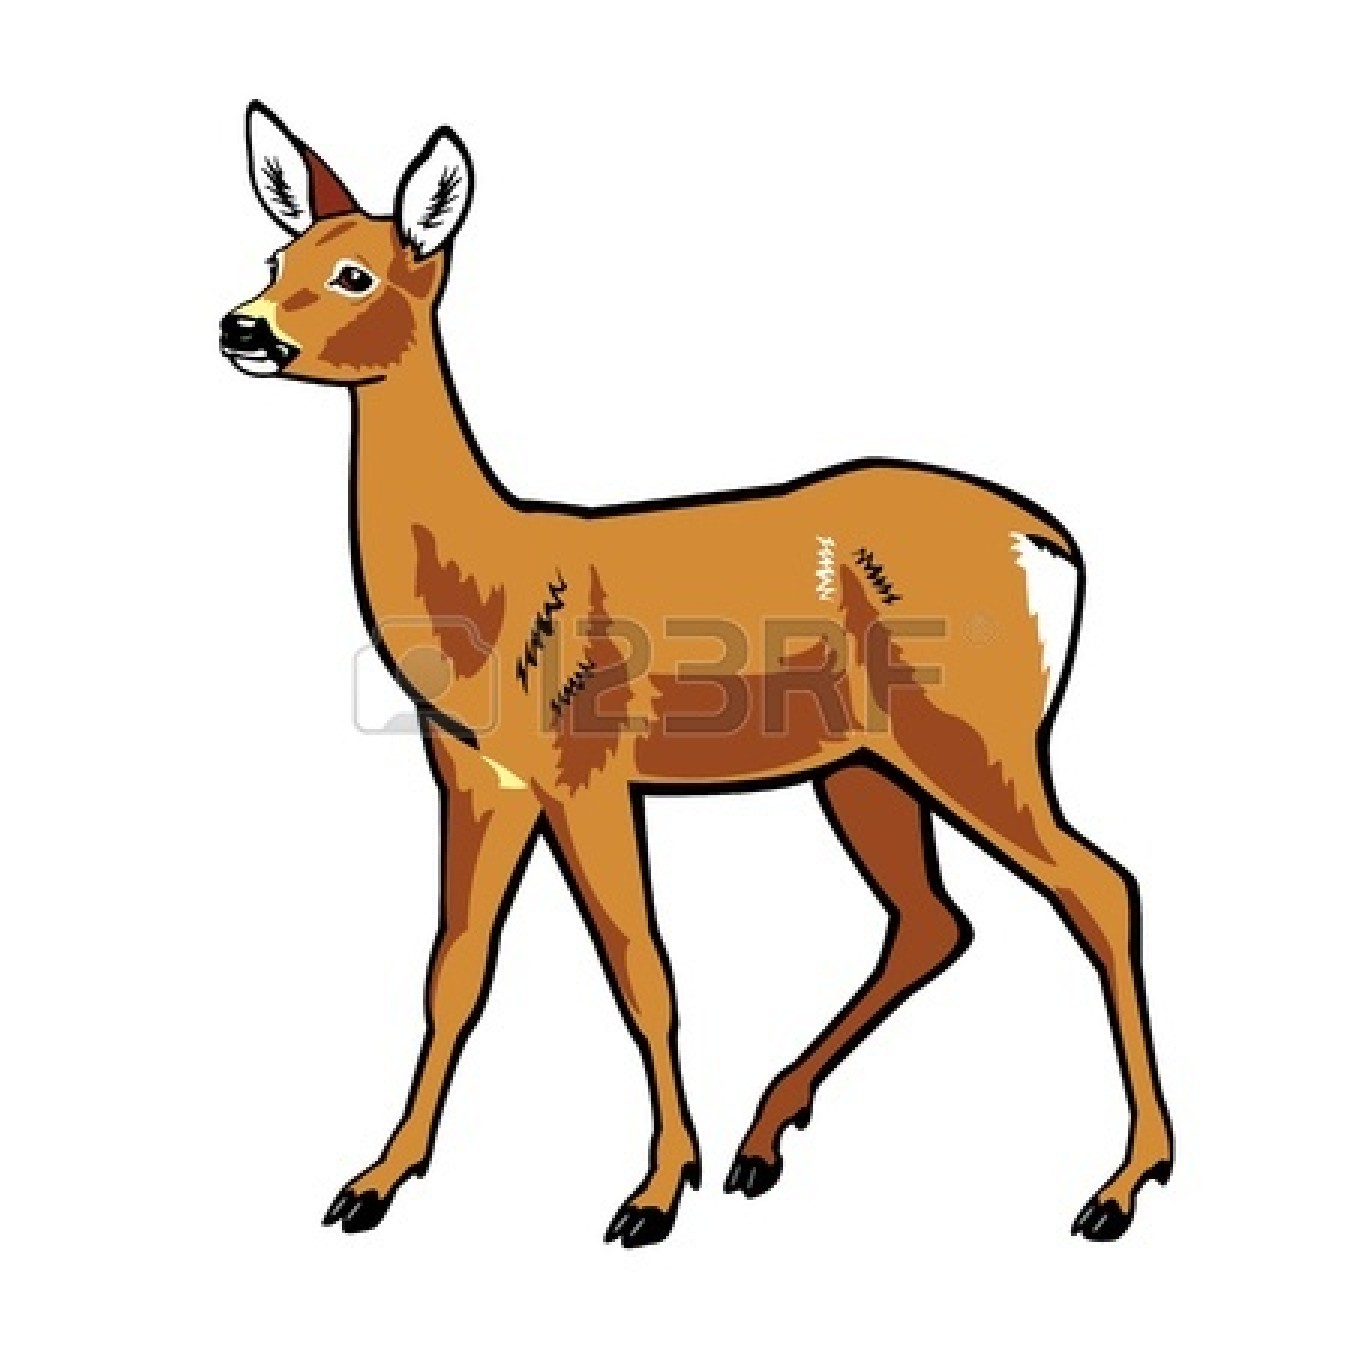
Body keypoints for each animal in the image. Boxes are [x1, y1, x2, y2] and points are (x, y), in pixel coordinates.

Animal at [220, 102, 1173, 1248]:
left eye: (356, 273)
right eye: (276, 257)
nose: (242, 327)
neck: (491, 587)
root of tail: (1055, 547)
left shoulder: (588, 767)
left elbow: (643, 968)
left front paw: (653, 1193)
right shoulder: (477, 776)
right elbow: (453, 972)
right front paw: (372, 1182)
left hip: (975, 730)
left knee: (1100, 886)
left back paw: (1123, 1185)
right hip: (863, 762)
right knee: (934, 919)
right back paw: (763, 1141)